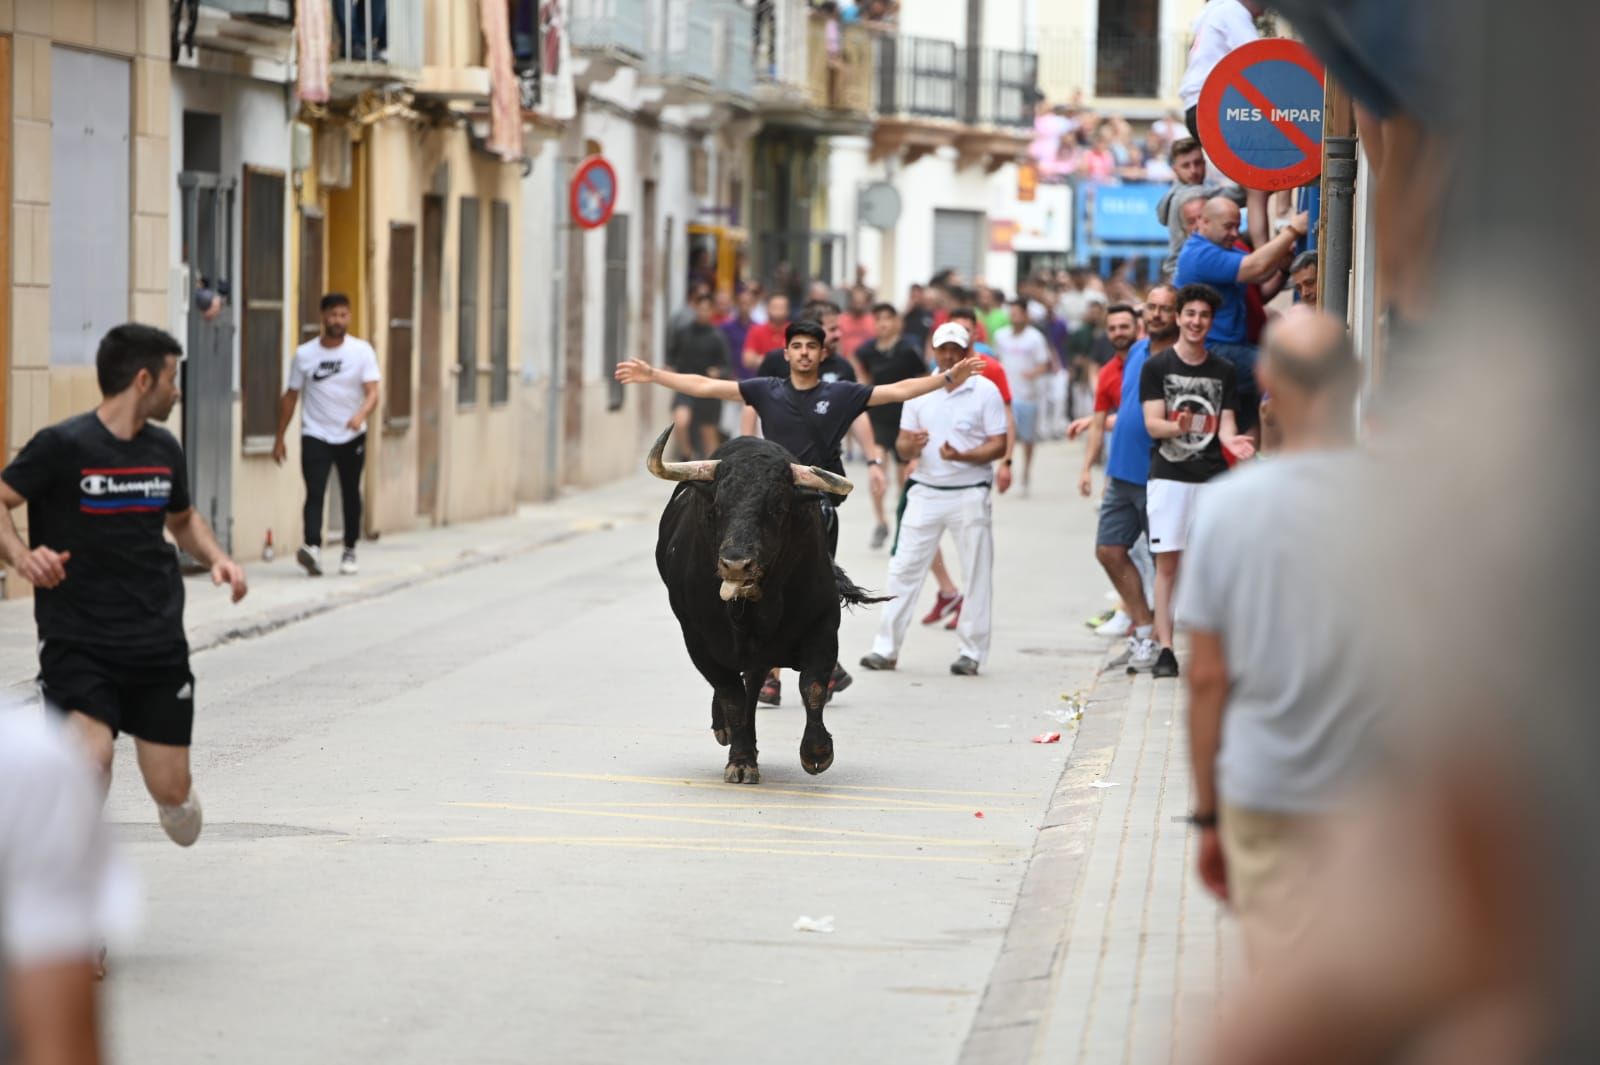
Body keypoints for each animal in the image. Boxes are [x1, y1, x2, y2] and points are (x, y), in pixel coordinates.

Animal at [656, 422, 896, 780]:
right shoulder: (697, 639)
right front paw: (741, 760)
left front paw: (817, 751)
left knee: (754, 684)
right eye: (716, 508)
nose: (736, 564)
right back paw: (730, 732)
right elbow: (730, 695)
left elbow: (812, 686)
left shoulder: (823, 626)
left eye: (778, 508)